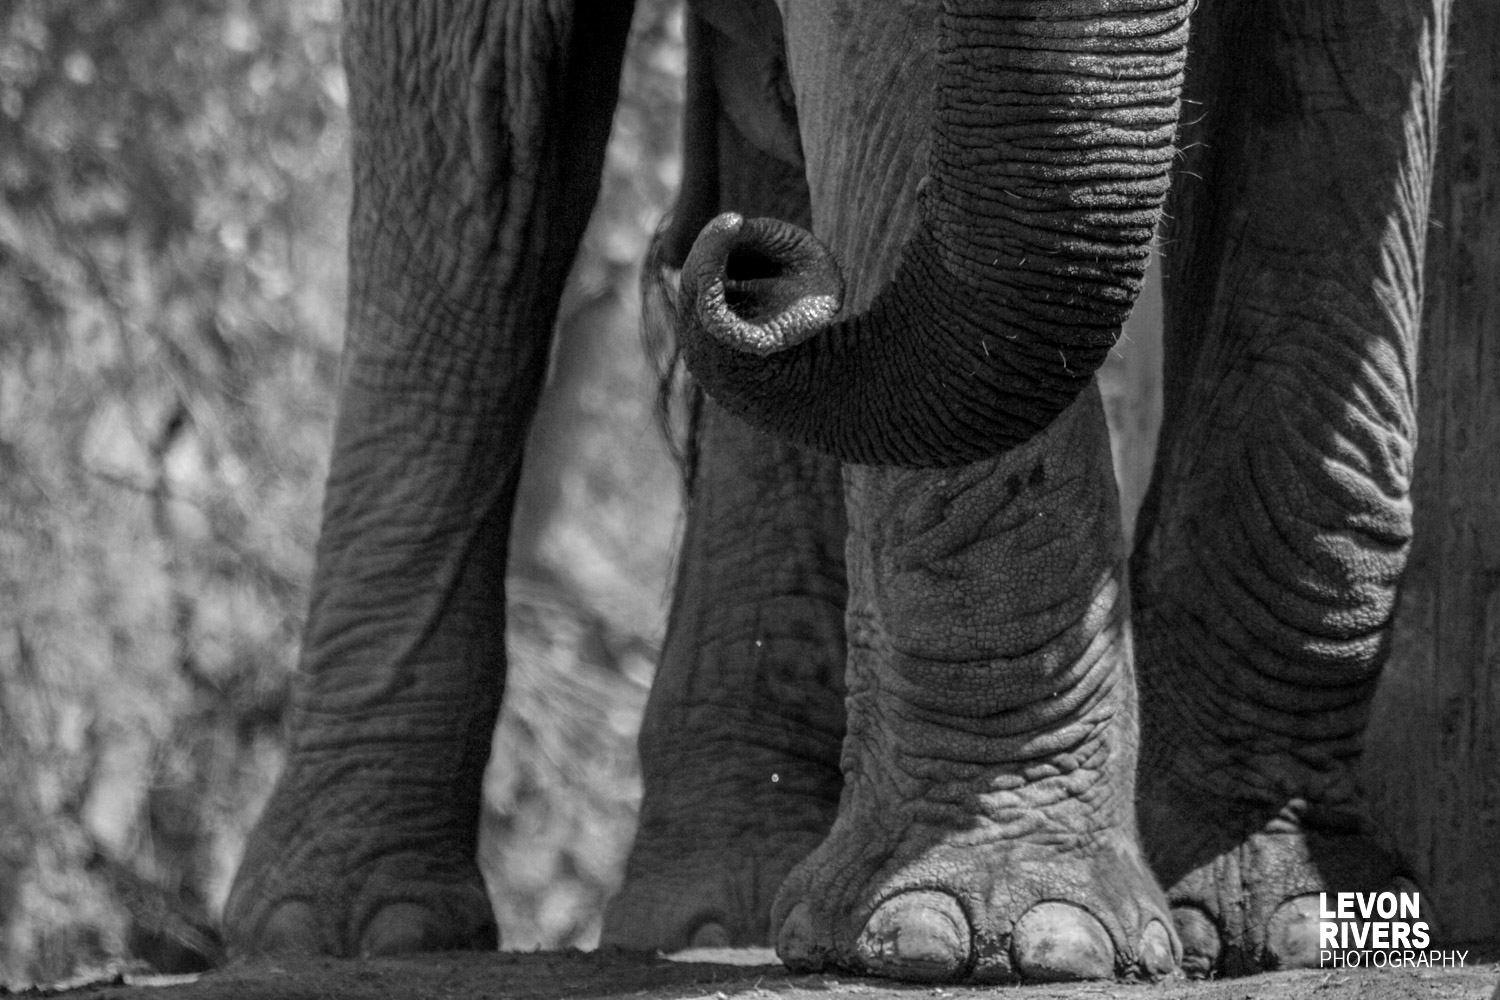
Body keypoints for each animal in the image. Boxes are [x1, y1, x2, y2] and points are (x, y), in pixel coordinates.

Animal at [223, 0, 1480, 984]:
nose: (747, 265)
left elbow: (1342, 106)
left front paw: (1296, 922)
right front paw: (994, 942)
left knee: (749, 113)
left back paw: (721, 911)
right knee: (474, 153)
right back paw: (342, 930)